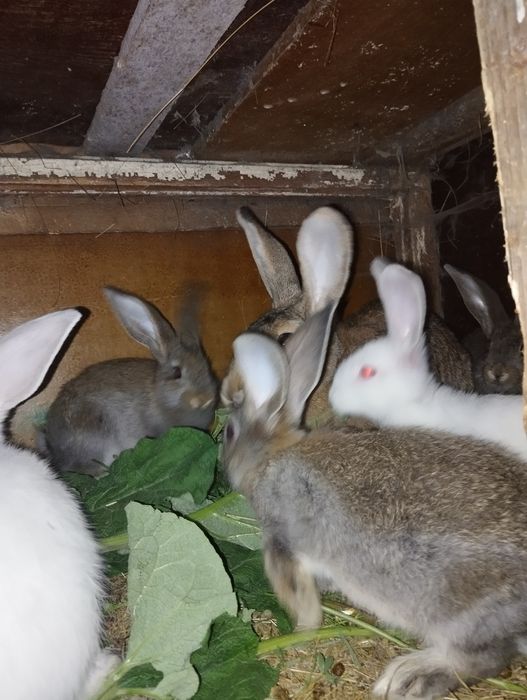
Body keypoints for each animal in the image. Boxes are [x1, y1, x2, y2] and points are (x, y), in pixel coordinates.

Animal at [222, 303, 527, 700]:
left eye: (229, 433)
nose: (223, 466)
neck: (272, 456)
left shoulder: (282, 541)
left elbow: (298, 592)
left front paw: (304, 629)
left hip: (464, 617)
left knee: (483, 659)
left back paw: (407, 678)